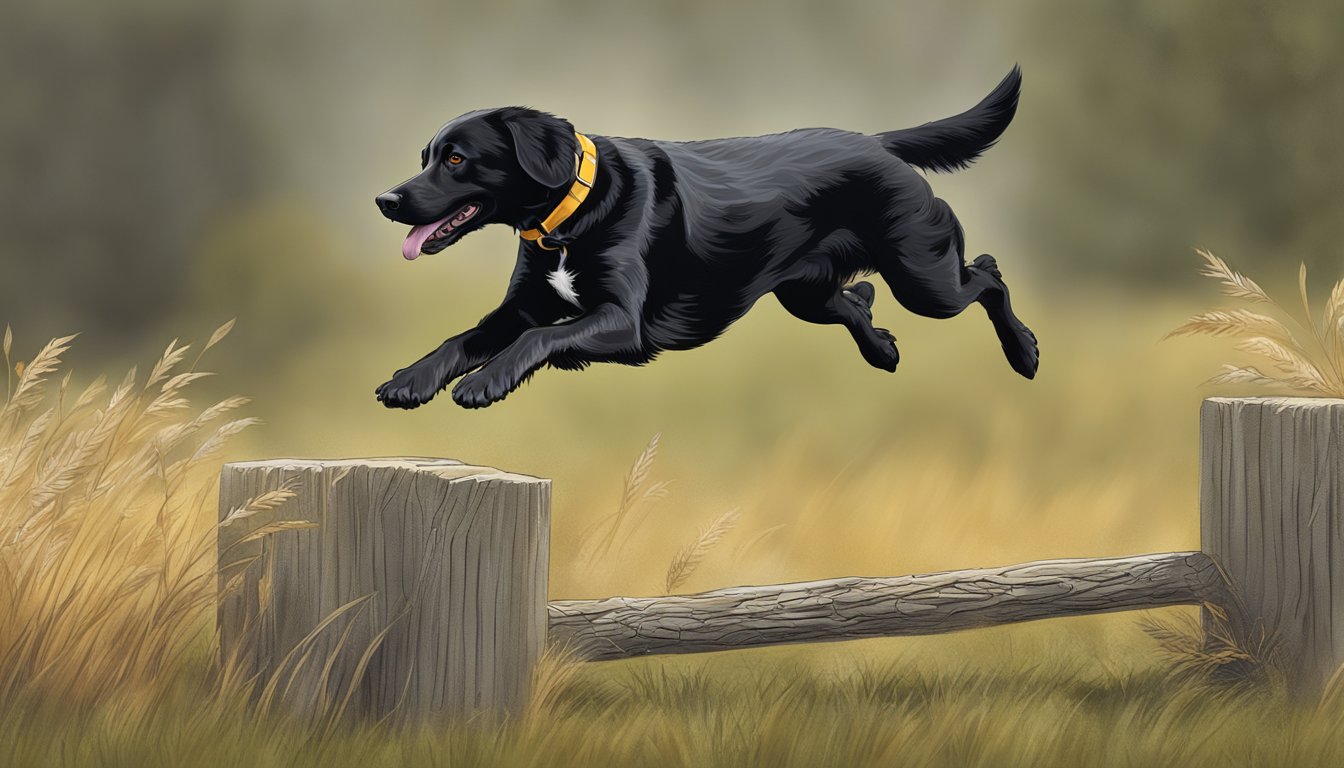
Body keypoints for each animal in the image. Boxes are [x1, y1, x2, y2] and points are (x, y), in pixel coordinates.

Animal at [376, 69, 1037, 411]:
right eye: (426, 156)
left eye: (457, 159)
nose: (386, 200)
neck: (570, 216)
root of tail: (879, 142)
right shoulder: (522, 305)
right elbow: (464, 338)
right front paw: (410, 379)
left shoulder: (622, 322)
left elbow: (537, 339)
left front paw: (482, 383)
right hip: (807, 295)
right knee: (859, 301)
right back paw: (883, 351)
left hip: (924, 277)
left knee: (987, 272)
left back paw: (1024, 353)